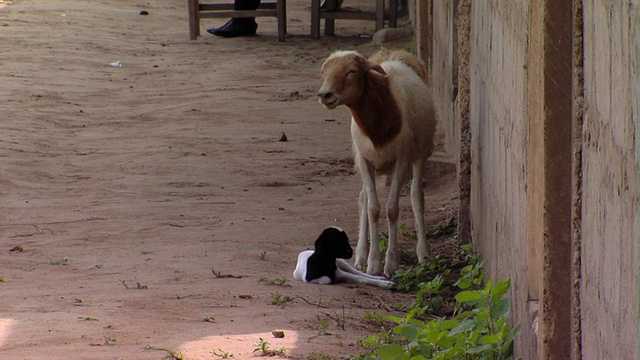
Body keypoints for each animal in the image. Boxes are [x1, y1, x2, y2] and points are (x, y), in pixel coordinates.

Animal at [318, 49, 438, 278]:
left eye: (352, 71)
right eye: (324, 71)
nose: (325, 95)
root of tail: (394, 53)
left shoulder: (402, 159)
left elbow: (392, 209)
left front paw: (391, 265)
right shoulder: (364, 160)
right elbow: (373, 208)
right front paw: (373, 264)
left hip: (421, 153)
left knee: (417, 196)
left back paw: (424, 254)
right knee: (363, 197)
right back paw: (361, 256)